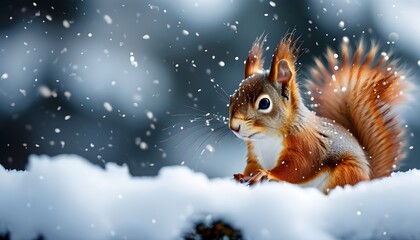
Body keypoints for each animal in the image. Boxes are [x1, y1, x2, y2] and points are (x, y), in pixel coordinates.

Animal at [228, 32, 412, 193]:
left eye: (264, 103)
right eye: (232, 98)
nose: (234, 127)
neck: (267, 138)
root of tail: (368, 179)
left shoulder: (307, 146)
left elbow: (297, 168)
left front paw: (267, 174)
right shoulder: (254, 153)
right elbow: (252, 167)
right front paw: (243, 175)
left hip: (346, 172)